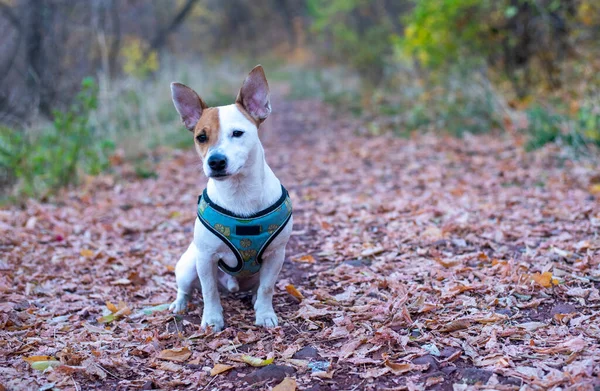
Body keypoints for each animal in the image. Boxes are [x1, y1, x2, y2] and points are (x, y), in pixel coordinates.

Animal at [169, 66, 292, 332]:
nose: (215, 161)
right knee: (186, 288)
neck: (239, 191)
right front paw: (212, 319)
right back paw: (179, 304)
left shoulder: (276, 255)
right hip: (189, 264)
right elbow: (209, 292)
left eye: (237, 133)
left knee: (258, 287)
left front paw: (265, 313)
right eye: (201, 137)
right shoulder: (205, 258)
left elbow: (267, 288)